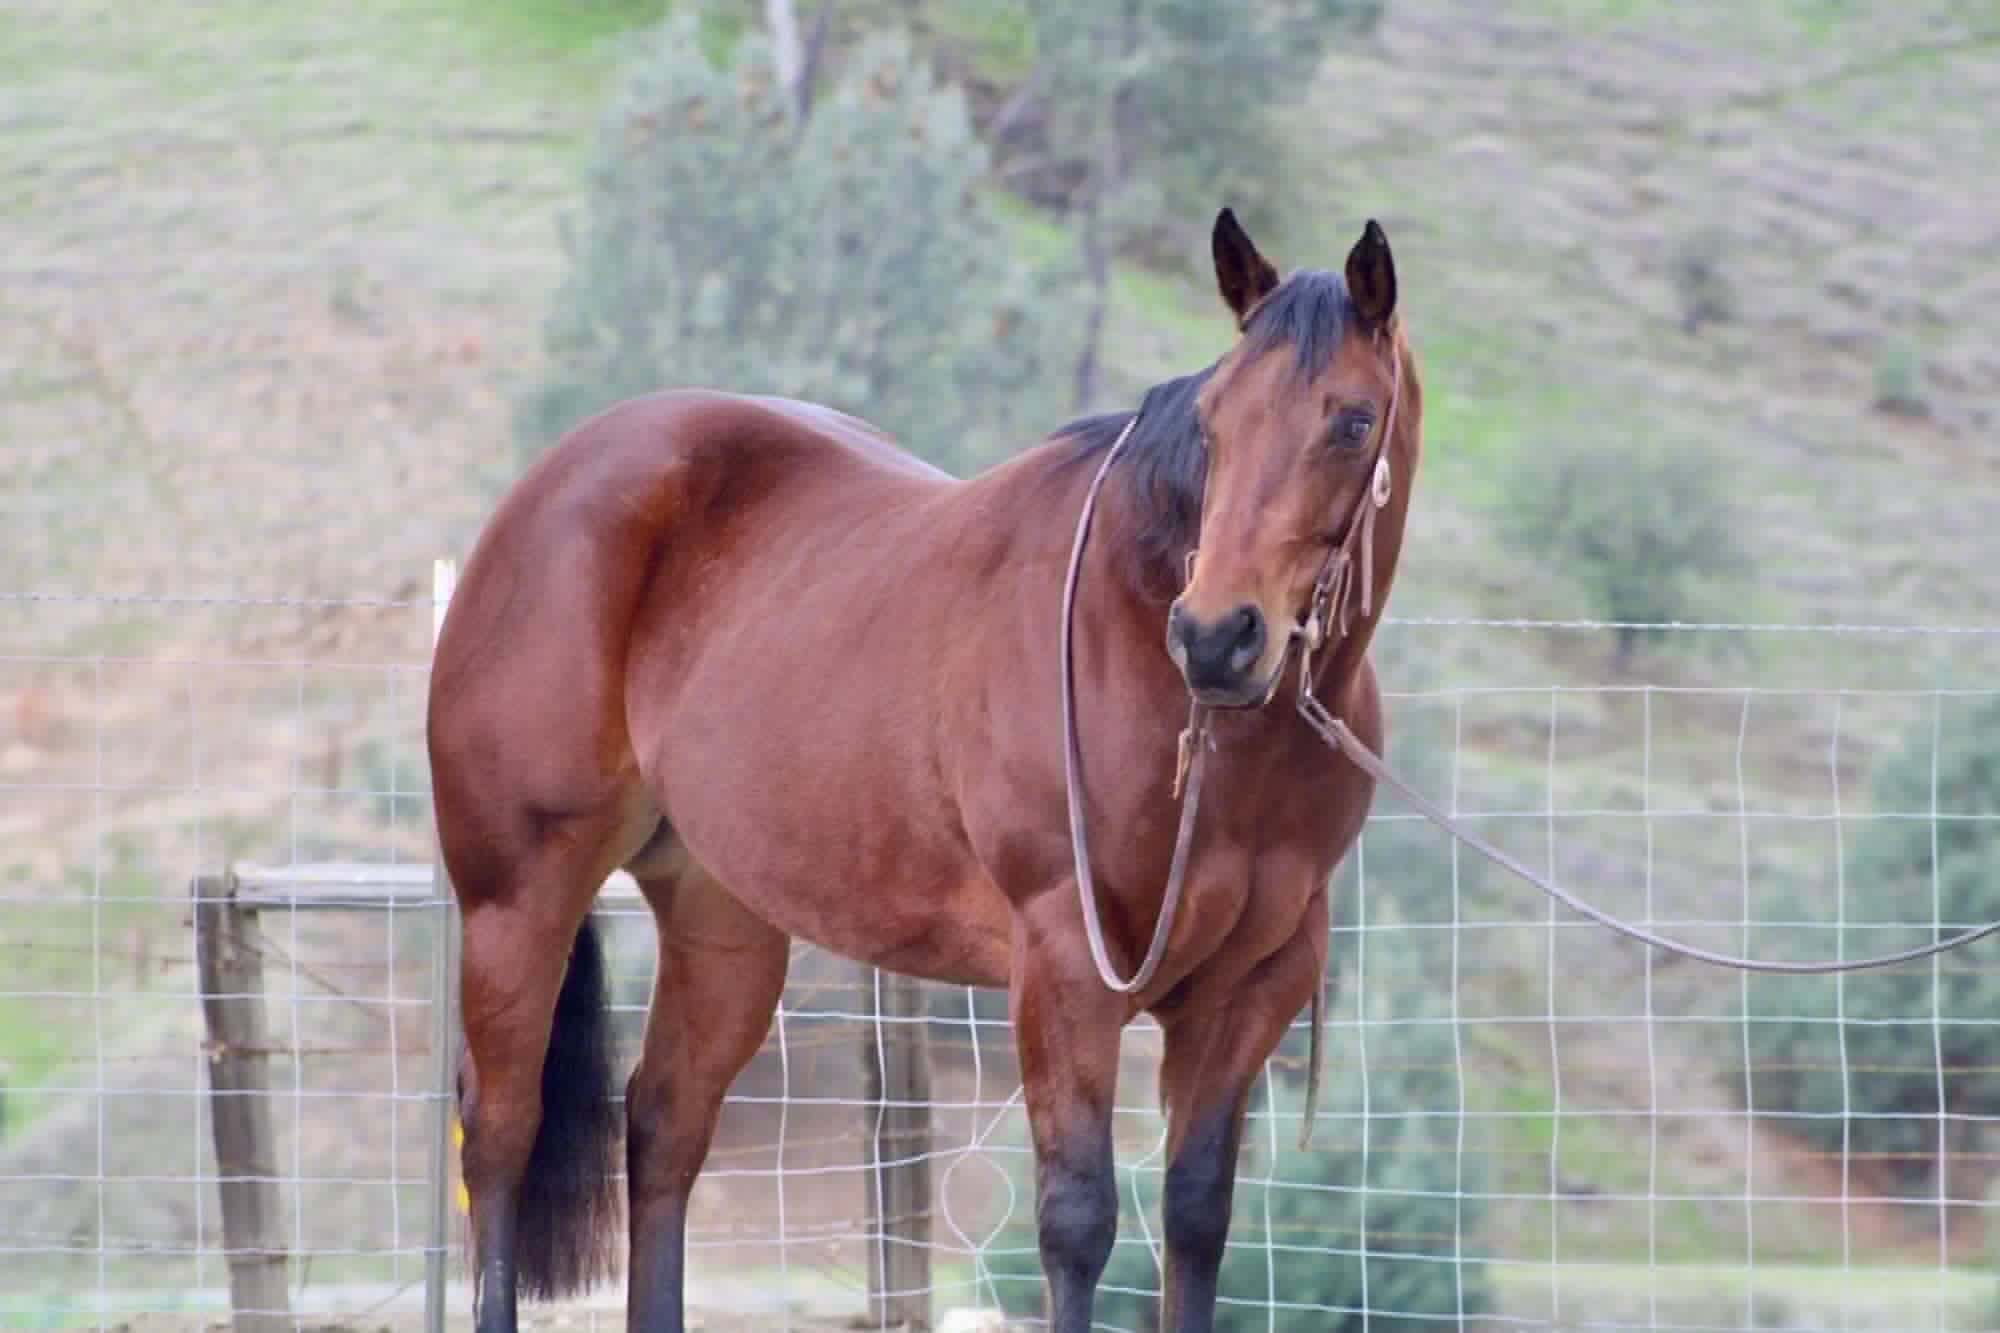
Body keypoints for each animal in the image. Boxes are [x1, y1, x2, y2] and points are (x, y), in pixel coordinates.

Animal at [426, 207, 1422, 1333]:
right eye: (1212, 422)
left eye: (1351, 422)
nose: (1215, 637)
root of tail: (548, 487)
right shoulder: (1066, 974)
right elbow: (1077, 1220)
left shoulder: (1247, 993)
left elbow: (1198, 1216)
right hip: (518, 894)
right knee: (500, 1132)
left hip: (721, 921)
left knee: (664, 1126)